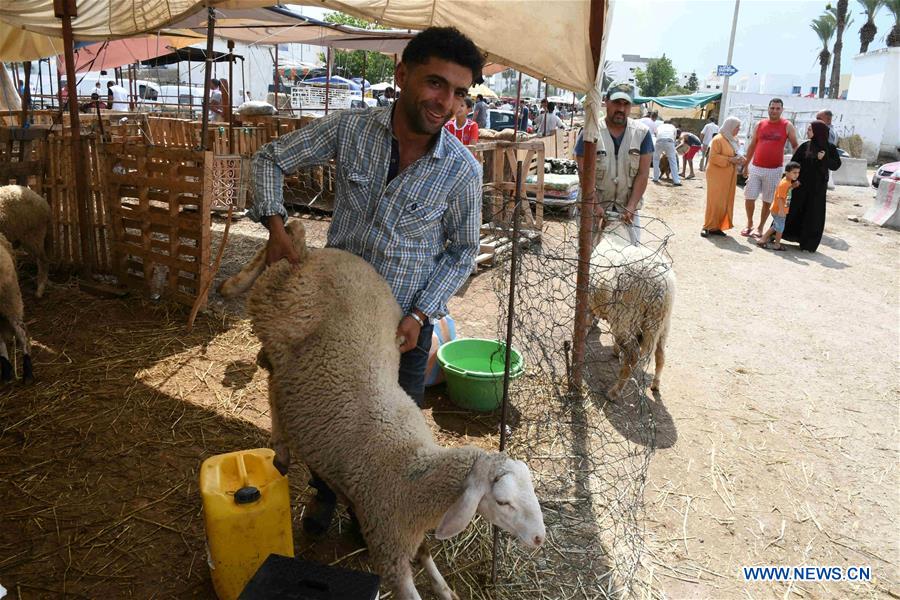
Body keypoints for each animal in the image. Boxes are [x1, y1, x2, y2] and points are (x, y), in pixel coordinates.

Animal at [220, 220, 540, 600]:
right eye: (504, 503)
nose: (540, 539)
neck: (411, 471)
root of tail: (310, 256)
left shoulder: (405, 532)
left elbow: (425, 552)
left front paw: (444, 588)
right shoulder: (389, 546)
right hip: (275, 320)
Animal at [592, 216, 676, 398]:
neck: (614, 236)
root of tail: (660, 285)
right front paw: (615, 350)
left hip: (628, 318)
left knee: (632, 357)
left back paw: (615, 392)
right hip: (662, 323)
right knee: (661, 355)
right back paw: (655, 384)